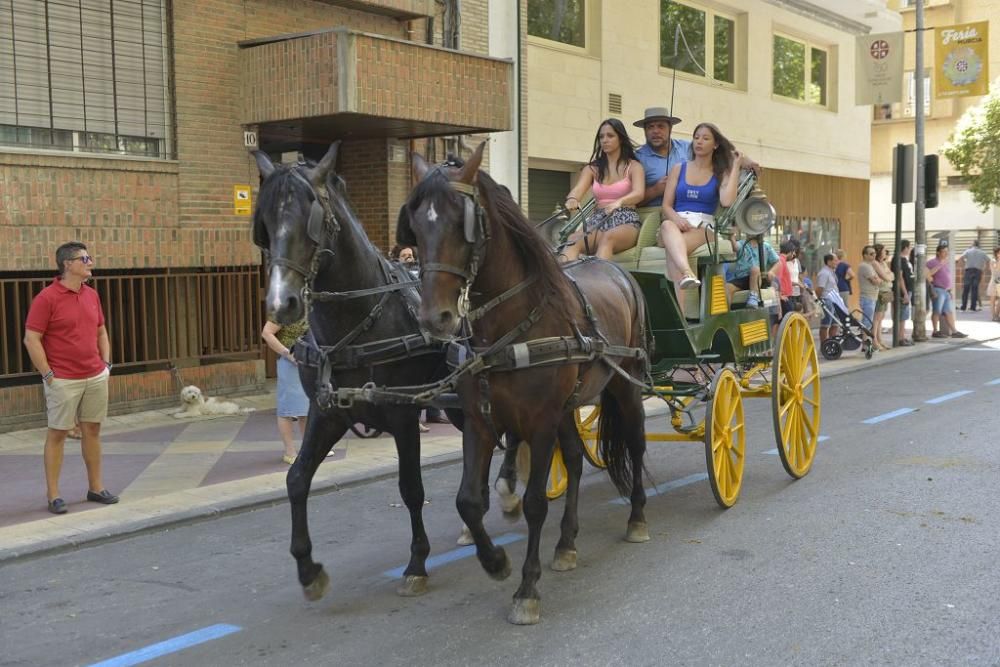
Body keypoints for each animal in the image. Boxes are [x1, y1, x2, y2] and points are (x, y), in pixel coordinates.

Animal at [254, 141, 476, 600]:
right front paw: (308, 568)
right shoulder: (327, 413)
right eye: (264, 223)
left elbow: (411, 489)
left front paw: (417, 562)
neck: (359, 322)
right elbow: (296, 478)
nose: (281, 304)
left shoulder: (404, 414)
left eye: (310, 220)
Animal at [394, 142, 652, 628]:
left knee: (635, 443)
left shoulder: (540, 421)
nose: (435, 318)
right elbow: (468, 501)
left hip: (625, 386)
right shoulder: (480, 421)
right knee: (575, 460)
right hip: (570, 405)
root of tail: (616, 270)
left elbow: (534, 503)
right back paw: (567, 543)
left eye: (462, 223)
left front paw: (527, 588)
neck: (510, 327)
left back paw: (637, 518)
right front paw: (495, 561)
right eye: (415, 227)